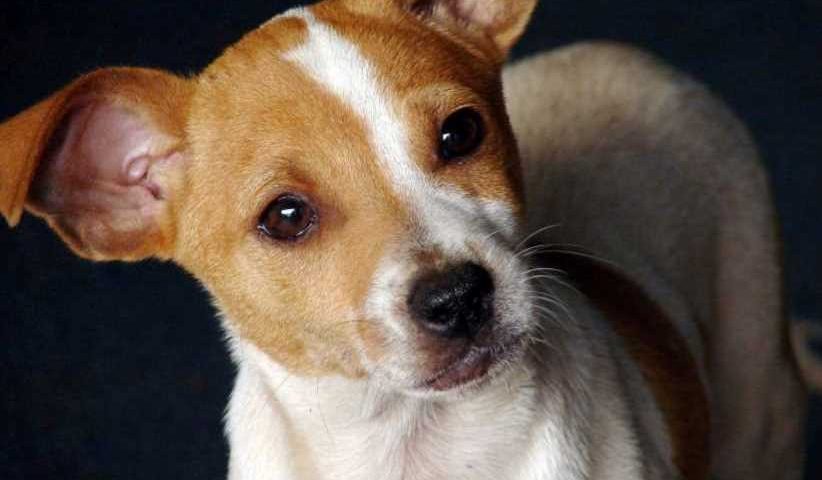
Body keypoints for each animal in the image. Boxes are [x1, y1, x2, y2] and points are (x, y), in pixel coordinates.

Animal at [0, 0, 808, 479]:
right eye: (284, 217)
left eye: (461, 133)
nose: (458, 298)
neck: (407, 443)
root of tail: (628, 54)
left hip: (759, 396)